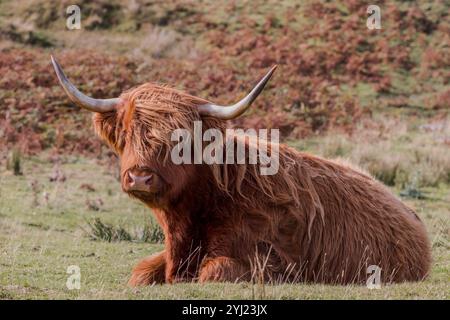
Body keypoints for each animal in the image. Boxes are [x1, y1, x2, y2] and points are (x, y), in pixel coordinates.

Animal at [51, 57, 430, 284]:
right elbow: (141, 272)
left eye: (181, 138)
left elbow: (213, 270)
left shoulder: (275, 262)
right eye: (127, 131)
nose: (140, 177)